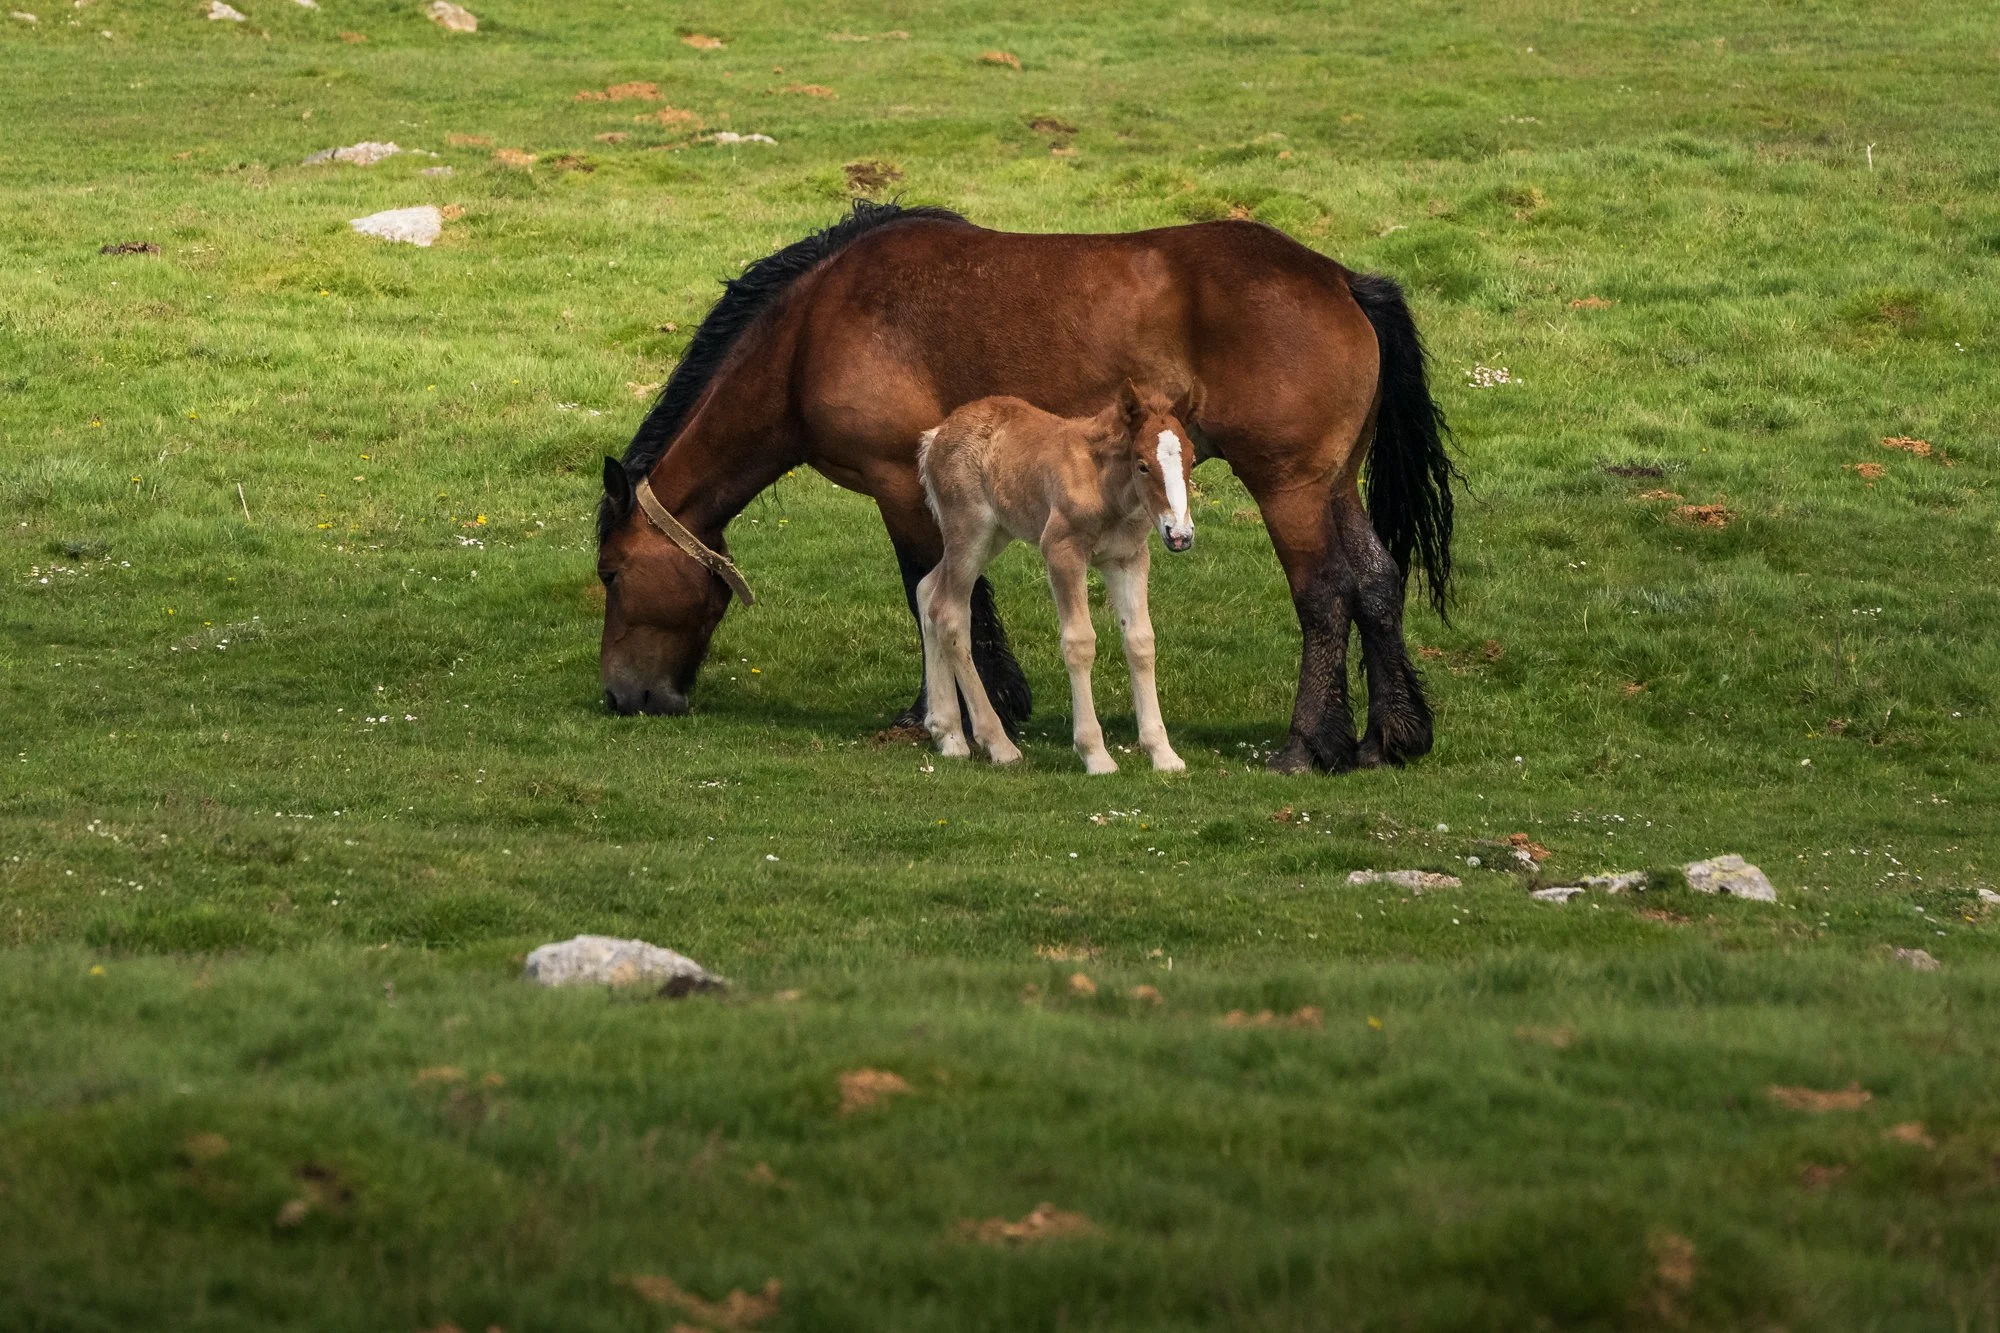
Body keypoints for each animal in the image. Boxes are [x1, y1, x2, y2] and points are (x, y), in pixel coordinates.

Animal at [916, 382, 1197, 775]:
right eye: (1142, 464)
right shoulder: (1062, 552)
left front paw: (1163, 752)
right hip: (970, 533)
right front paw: (1095, 754)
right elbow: (1079, 642)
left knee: (927, 590)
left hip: (994, 535)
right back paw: (998, 744)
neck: (1104, 484)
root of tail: (936, 436)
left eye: (1192, 460)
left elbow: (1141, 641)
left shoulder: (1128, 559)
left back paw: (949, 735)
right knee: (949, 614)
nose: (1180, 535)